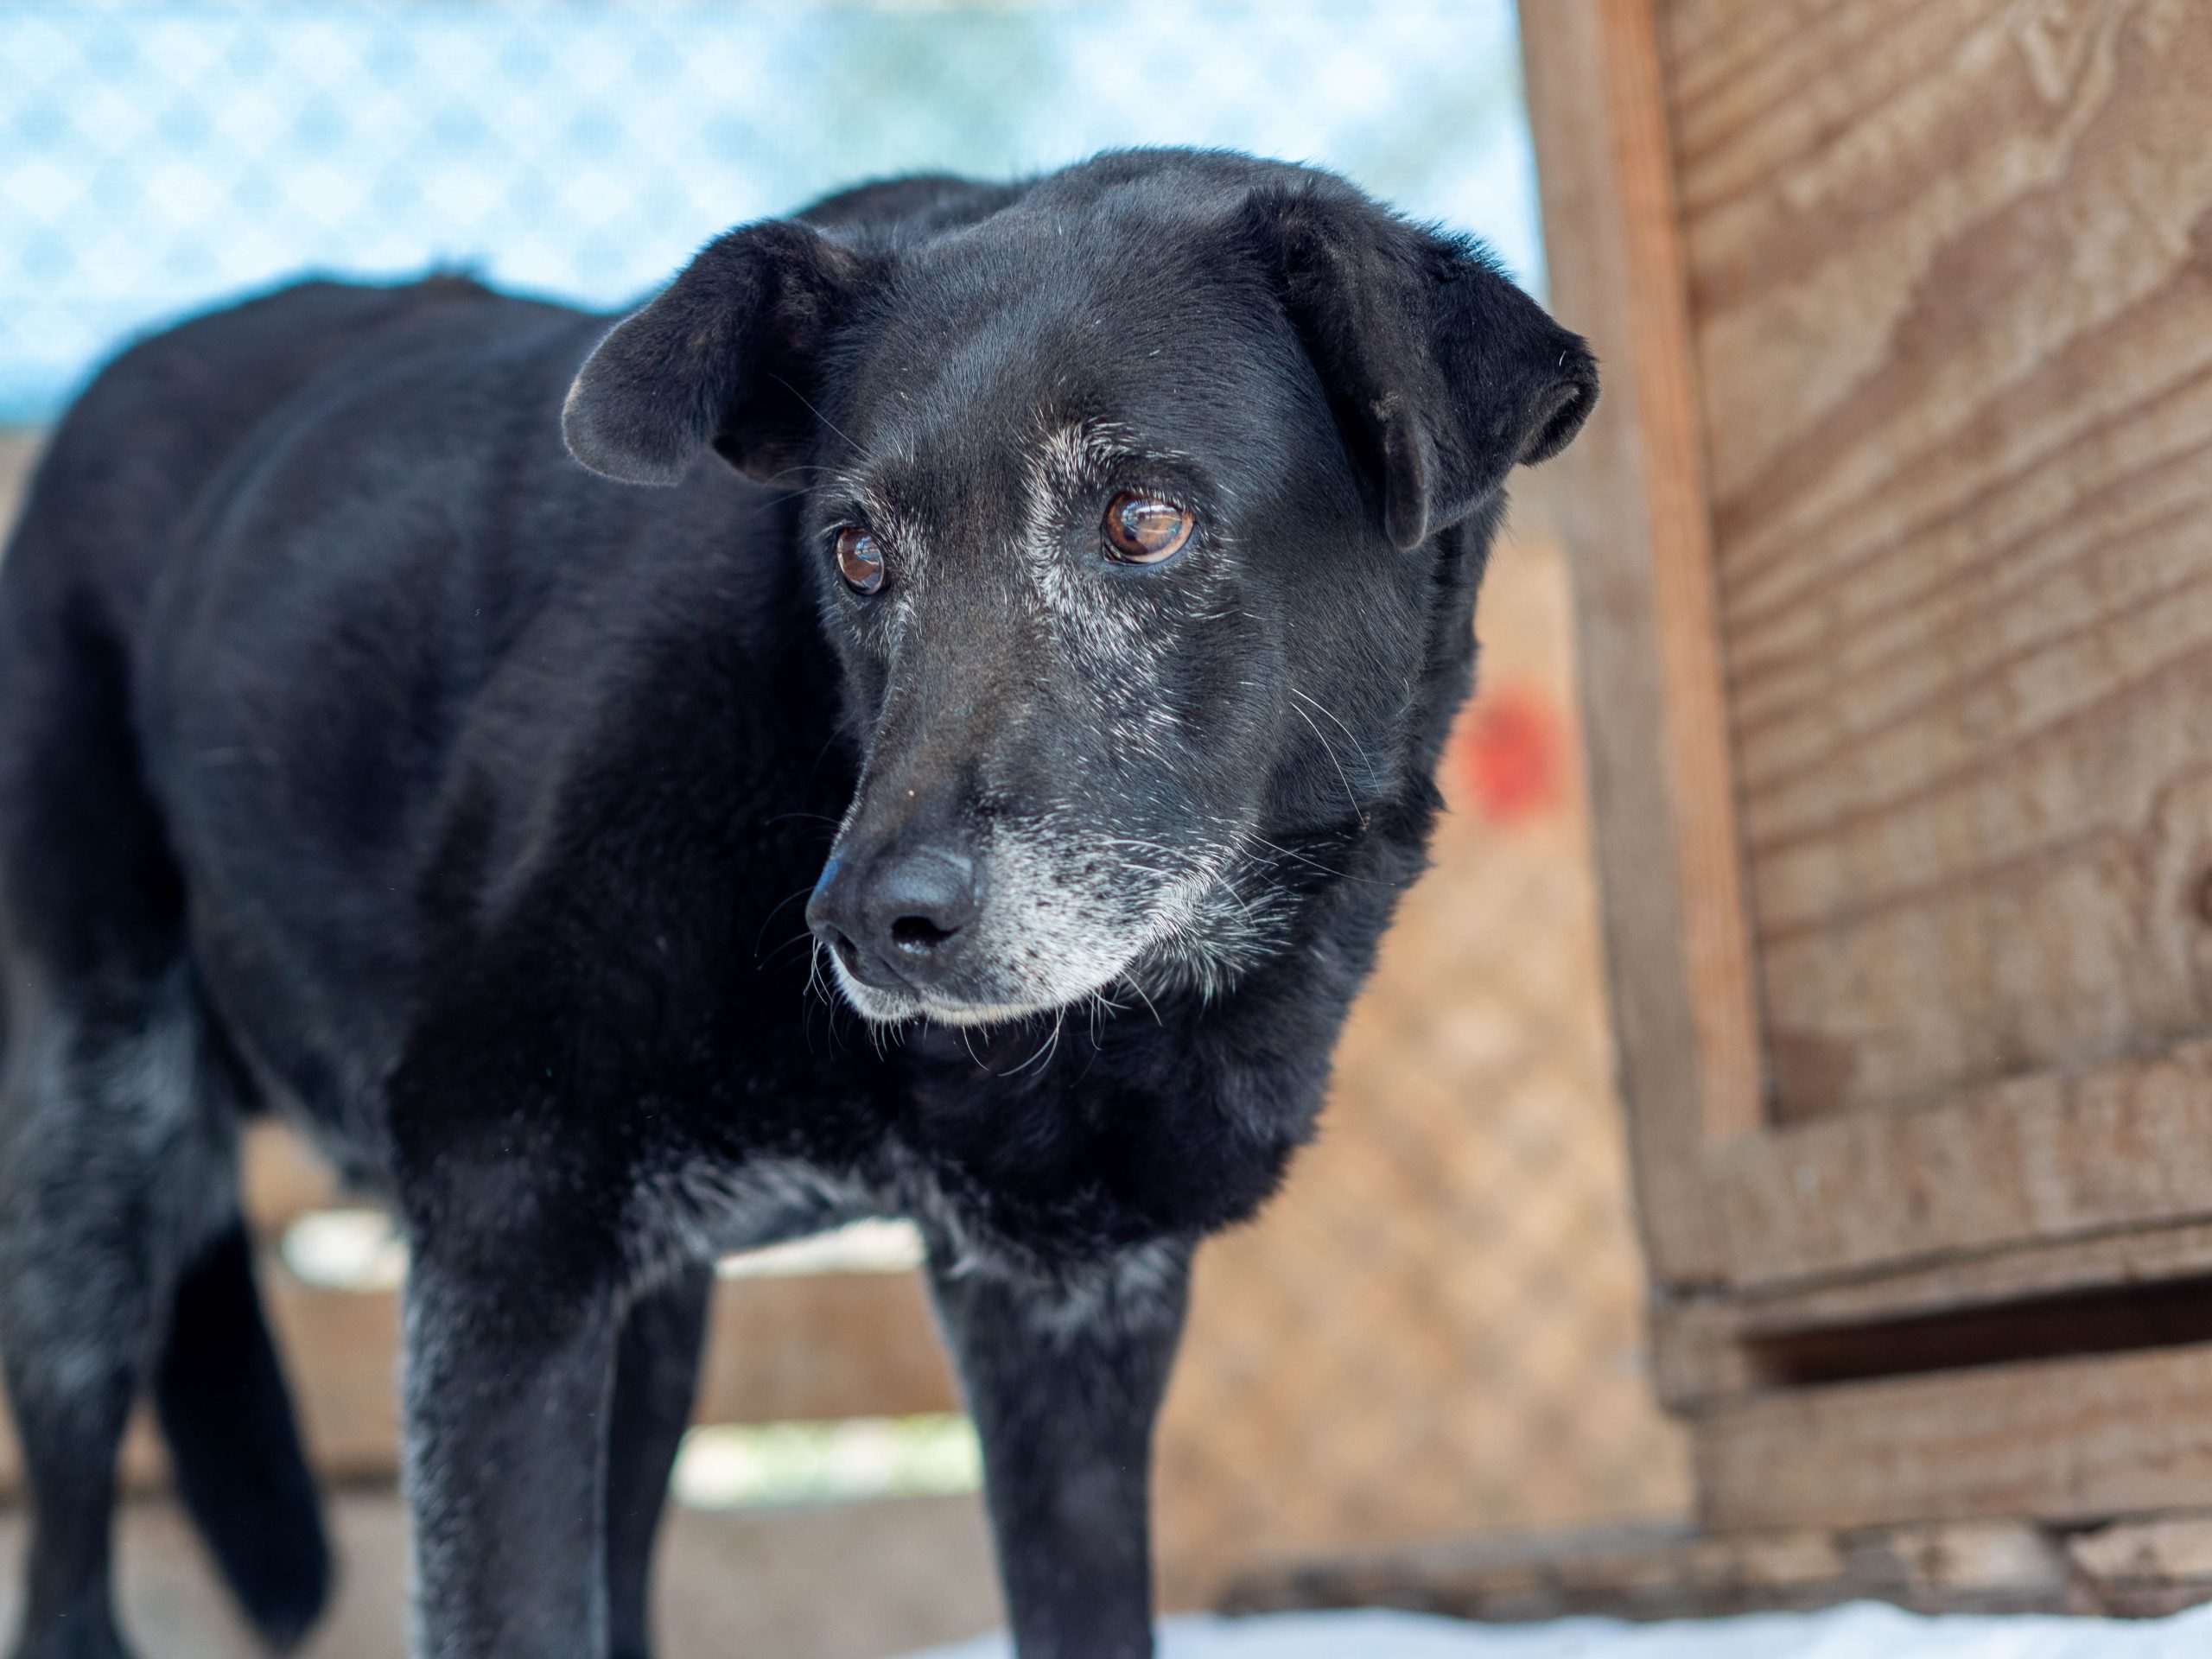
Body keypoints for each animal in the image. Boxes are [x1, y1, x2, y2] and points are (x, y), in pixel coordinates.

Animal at [0, 149, 1592, 1654]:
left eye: (1145, 521)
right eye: (857, 554)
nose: (871, 925)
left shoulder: (1069, 1319)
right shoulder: (499, 1240)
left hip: (649, 1327)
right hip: (95, 1173)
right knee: (70, 1576)